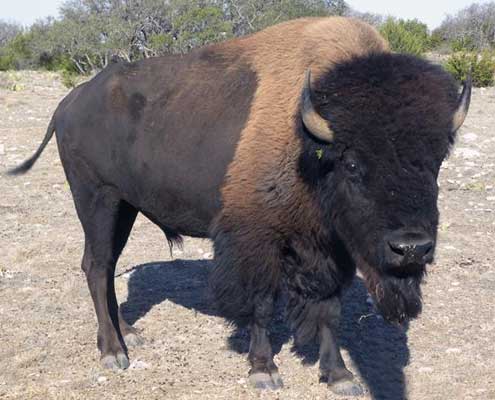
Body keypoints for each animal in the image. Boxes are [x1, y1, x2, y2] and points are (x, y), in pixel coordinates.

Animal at [9, 16, 470, 396]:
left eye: (435, 160)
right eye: (353, 163)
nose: (411, 248)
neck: (309, 145)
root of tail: (70, 102)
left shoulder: (331, 249)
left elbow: (329, 311)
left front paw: (339, 376)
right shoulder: (257, 241)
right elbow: (262, 305)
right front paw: (264, 371)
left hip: (124, 206)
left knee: (104, 268)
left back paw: (129, 334)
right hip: (96, 199)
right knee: (97, 265)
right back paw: (112, 352)